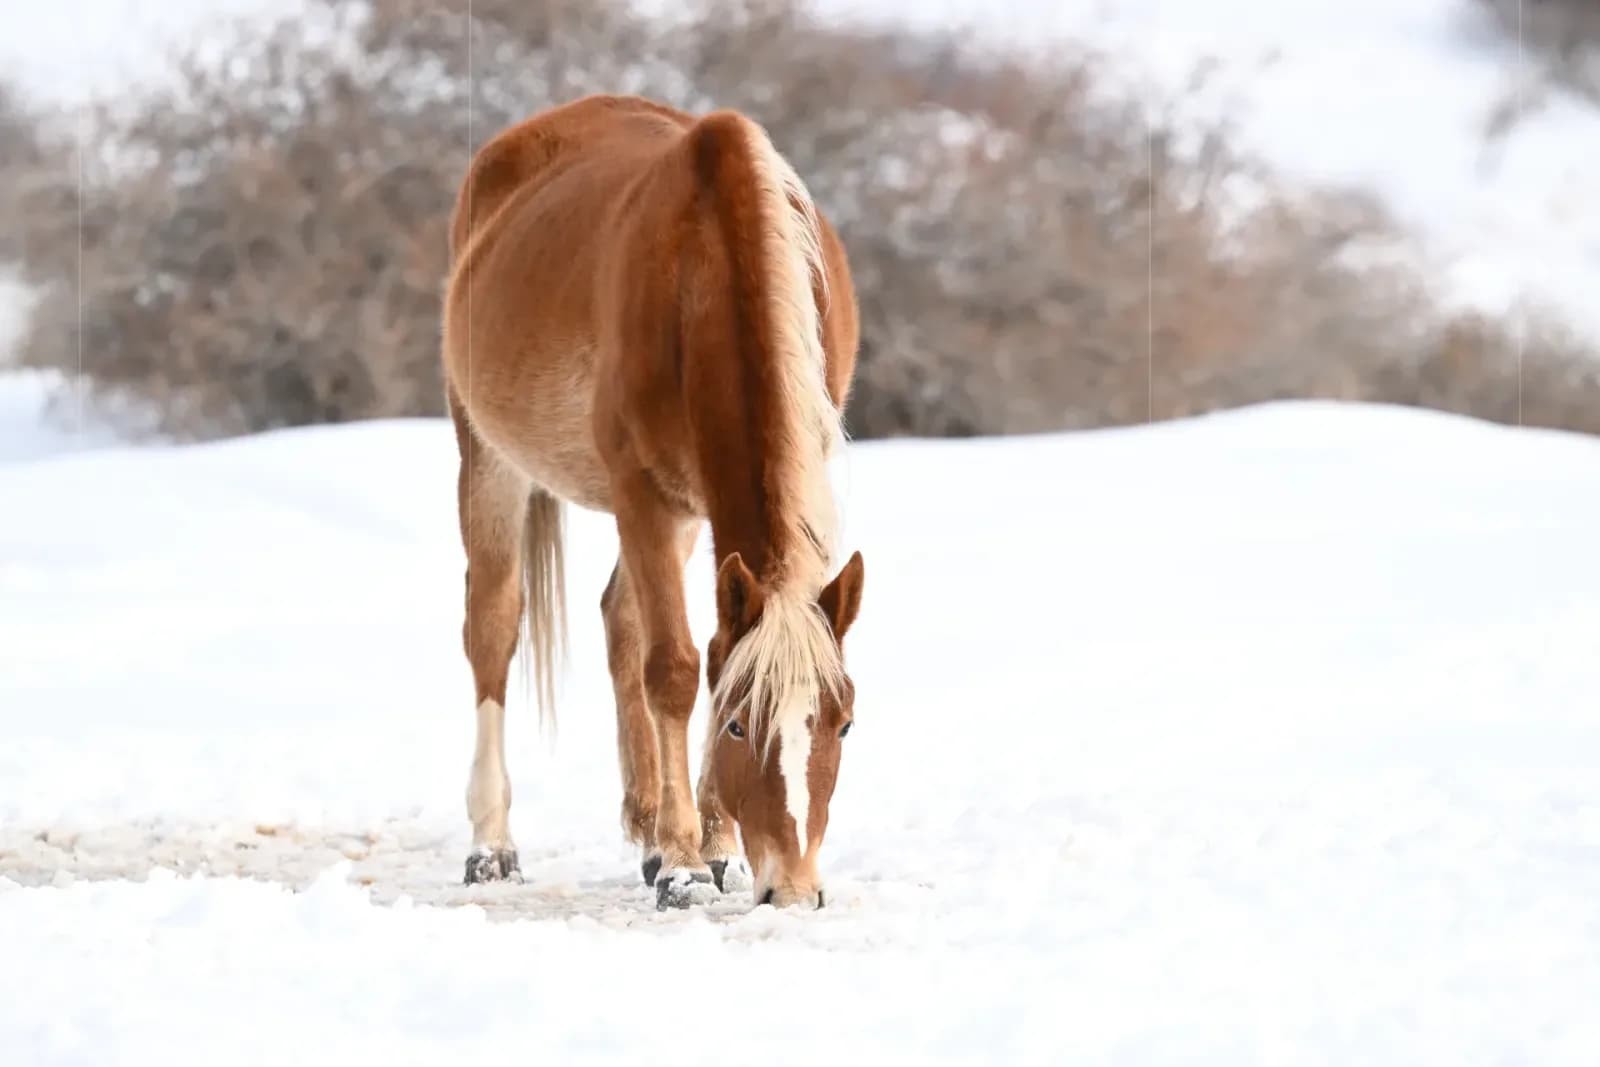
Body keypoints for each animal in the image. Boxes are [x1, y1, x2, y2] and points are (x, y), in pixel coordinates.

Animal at [439, 94, 866, 910]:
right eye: (738, 728)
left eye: (845, 724)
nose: (793, 890)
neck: (705, 266)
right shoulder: (641, 491)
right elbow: (673, 669)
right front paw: (685, 866)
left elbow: (706, 652)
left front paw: (712, 845)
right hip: (490, 457)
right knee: (493, 628)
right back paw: (492, 844)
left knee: (620, 619)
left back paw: (647, 828)